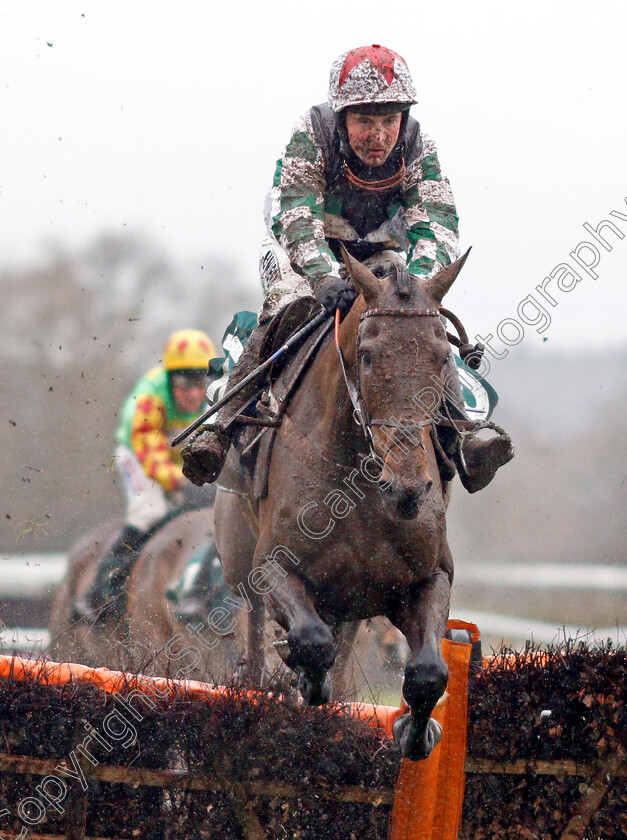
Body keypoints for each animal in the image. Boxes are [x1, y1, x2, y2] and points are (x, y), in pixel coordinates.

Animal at [218, 246, 468, 756]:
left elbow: (429, 672)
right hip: (238, 565)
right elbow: (312, 641)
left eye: (441, 356)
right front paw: (306, 678)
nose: (408, 486)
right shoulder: (270, 565)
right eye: (367, 355)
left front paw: (416, 731)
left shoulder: (428, 576)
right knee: (255, 639)